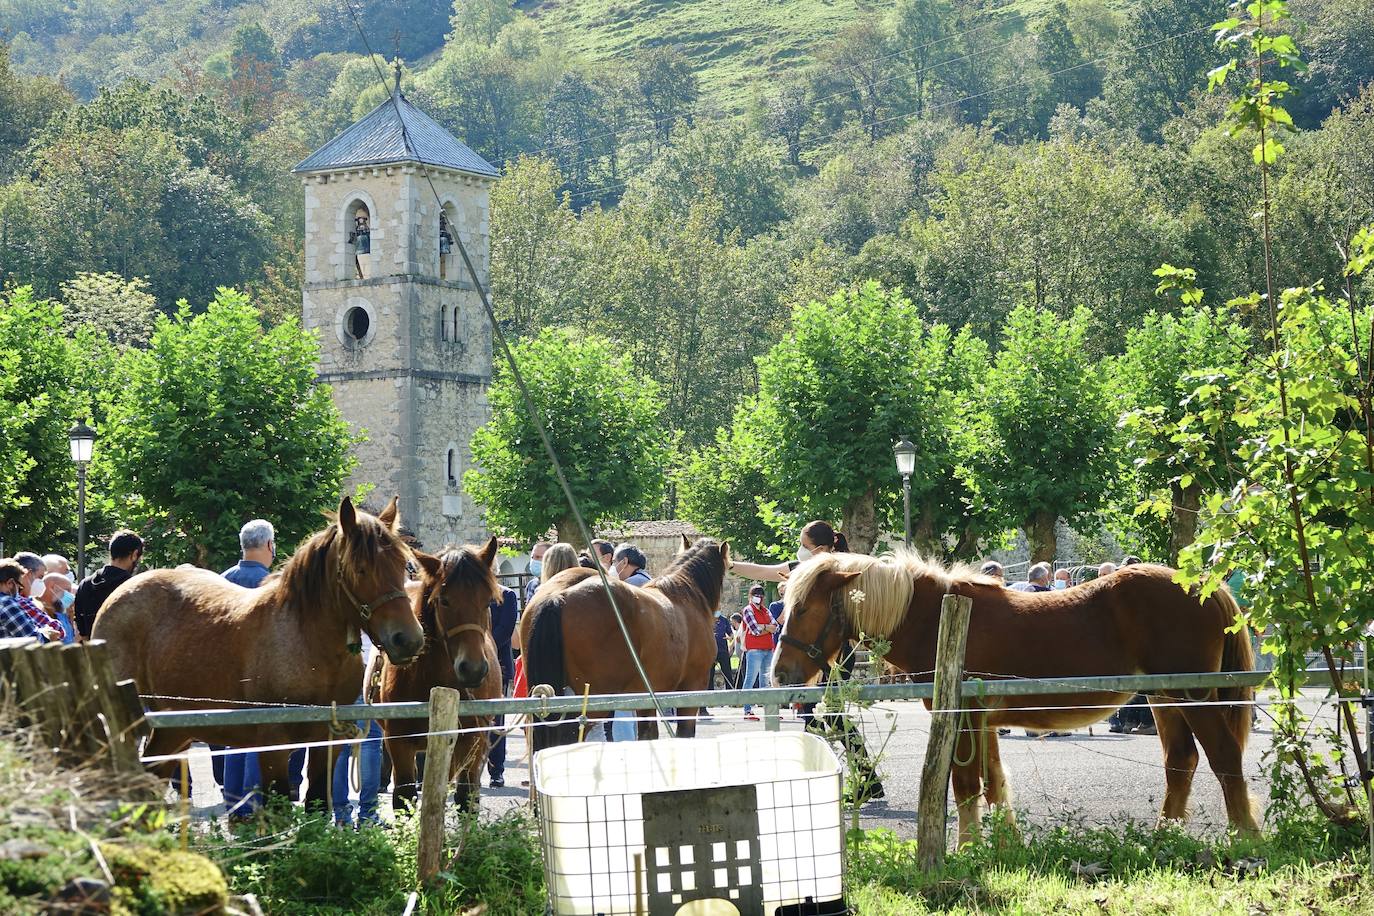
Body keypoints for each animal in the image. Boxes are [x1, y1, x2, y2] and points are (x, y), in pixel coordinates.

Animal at [93, 497, 423, 813]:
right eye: (360, 568)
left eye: (402, 565)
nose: (408, 640)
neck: (309, 644)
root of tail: (120, 593)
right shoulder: (273, 744)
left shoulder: (328, 741)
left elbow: (317, 805)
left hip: (173, 728)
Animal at [379, 541, 502, 813]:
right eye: (444, 601)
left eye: (488, 601)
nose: (473, 668)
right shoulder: (399, 742)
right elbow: (404, 798)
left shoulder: (472, 739)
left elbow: (466, 797)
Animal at [774, 552, 1258, 845]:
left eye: (804, 608)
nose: (780, 674)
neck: (936, 617)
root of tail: (1206, 583)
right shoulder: (984, 720)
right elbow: (993, 783)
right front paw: (1005, 844)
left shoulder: (965, 715)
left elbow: (965, 783)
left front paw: (968, 847)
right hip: (1165, 698)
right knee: (1181, 761)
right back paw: (1165, 835)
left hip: (1194, 696)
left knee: (1223, 757)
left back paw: (1244, 836)